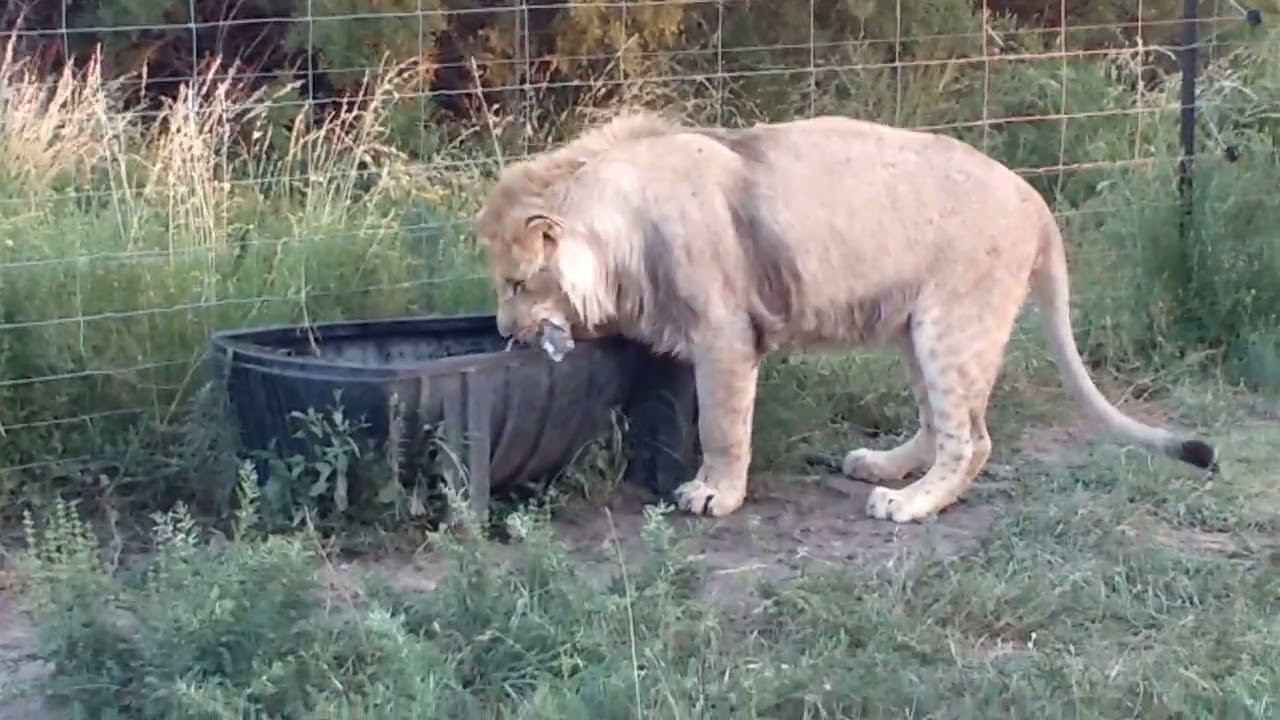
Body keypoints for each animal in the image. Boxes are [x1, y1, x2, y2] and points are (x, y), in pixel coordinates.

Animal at [473, 112, 1217, 523]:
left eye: (517, 282)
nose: (506, 332)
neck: (616, 227)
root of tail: (1036, 202)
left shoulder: (725, 335)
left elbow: (722, 427)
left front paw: (715, 495)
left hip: (953, 324)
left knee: (971, 440)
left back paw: (908, 504)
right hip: (917, 328)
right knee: (937, 423)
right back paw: (883, 468)